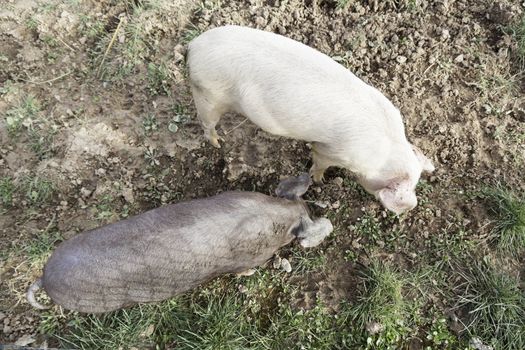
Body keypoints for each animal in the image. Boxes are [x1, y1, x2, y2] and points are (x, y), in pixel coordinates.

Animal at [26, 174, 330, 314]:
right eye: (307, 214)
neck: (277, 215)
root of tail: (44, 278)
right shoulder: (248, 258)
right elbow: (245, 270)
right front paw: (251, 273)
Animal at [187, 25, 434, 213]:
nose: (409, 207)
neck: (385, 153)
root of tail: (194, 46)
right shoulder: (331, 151)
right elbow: (319, 161)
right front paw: (319, 181)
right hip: (208, 94)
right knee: (206, 122)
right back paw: (218, 142)